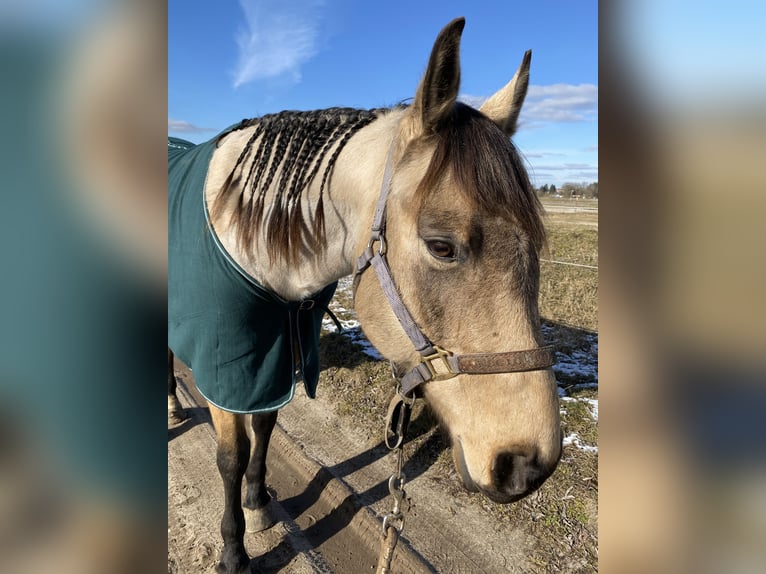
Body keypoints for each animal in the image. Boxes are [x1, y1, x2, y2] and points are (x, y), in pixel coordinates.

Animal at [168, 17, 561, 574]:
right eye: (442, 246)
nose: (528, 465)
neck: (251, 237)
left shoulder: (276, 358)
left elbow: (264, 429)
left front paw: (259, 501)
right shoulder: (227, 368)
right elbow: (230, 457)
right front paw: (234, 550)